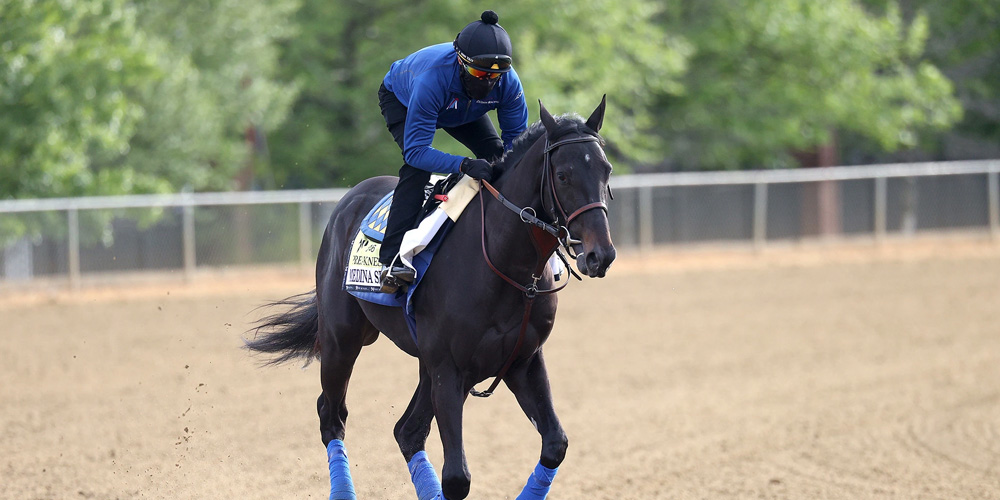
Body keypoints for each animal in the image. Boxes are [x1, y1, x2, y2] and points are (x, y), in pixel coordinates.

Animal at [245, 95, 612, 498]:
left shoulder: (520, 362)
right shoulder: (449, 368)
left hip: (426, 363)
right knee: (332, 415)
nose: (601, 254)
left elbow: (555, 444)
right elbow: (457, 477)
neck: (506, 265)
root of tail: (349, 200)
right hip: (342, 339)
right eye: (563, 176)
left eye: (606, 171)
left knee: (407, 431)